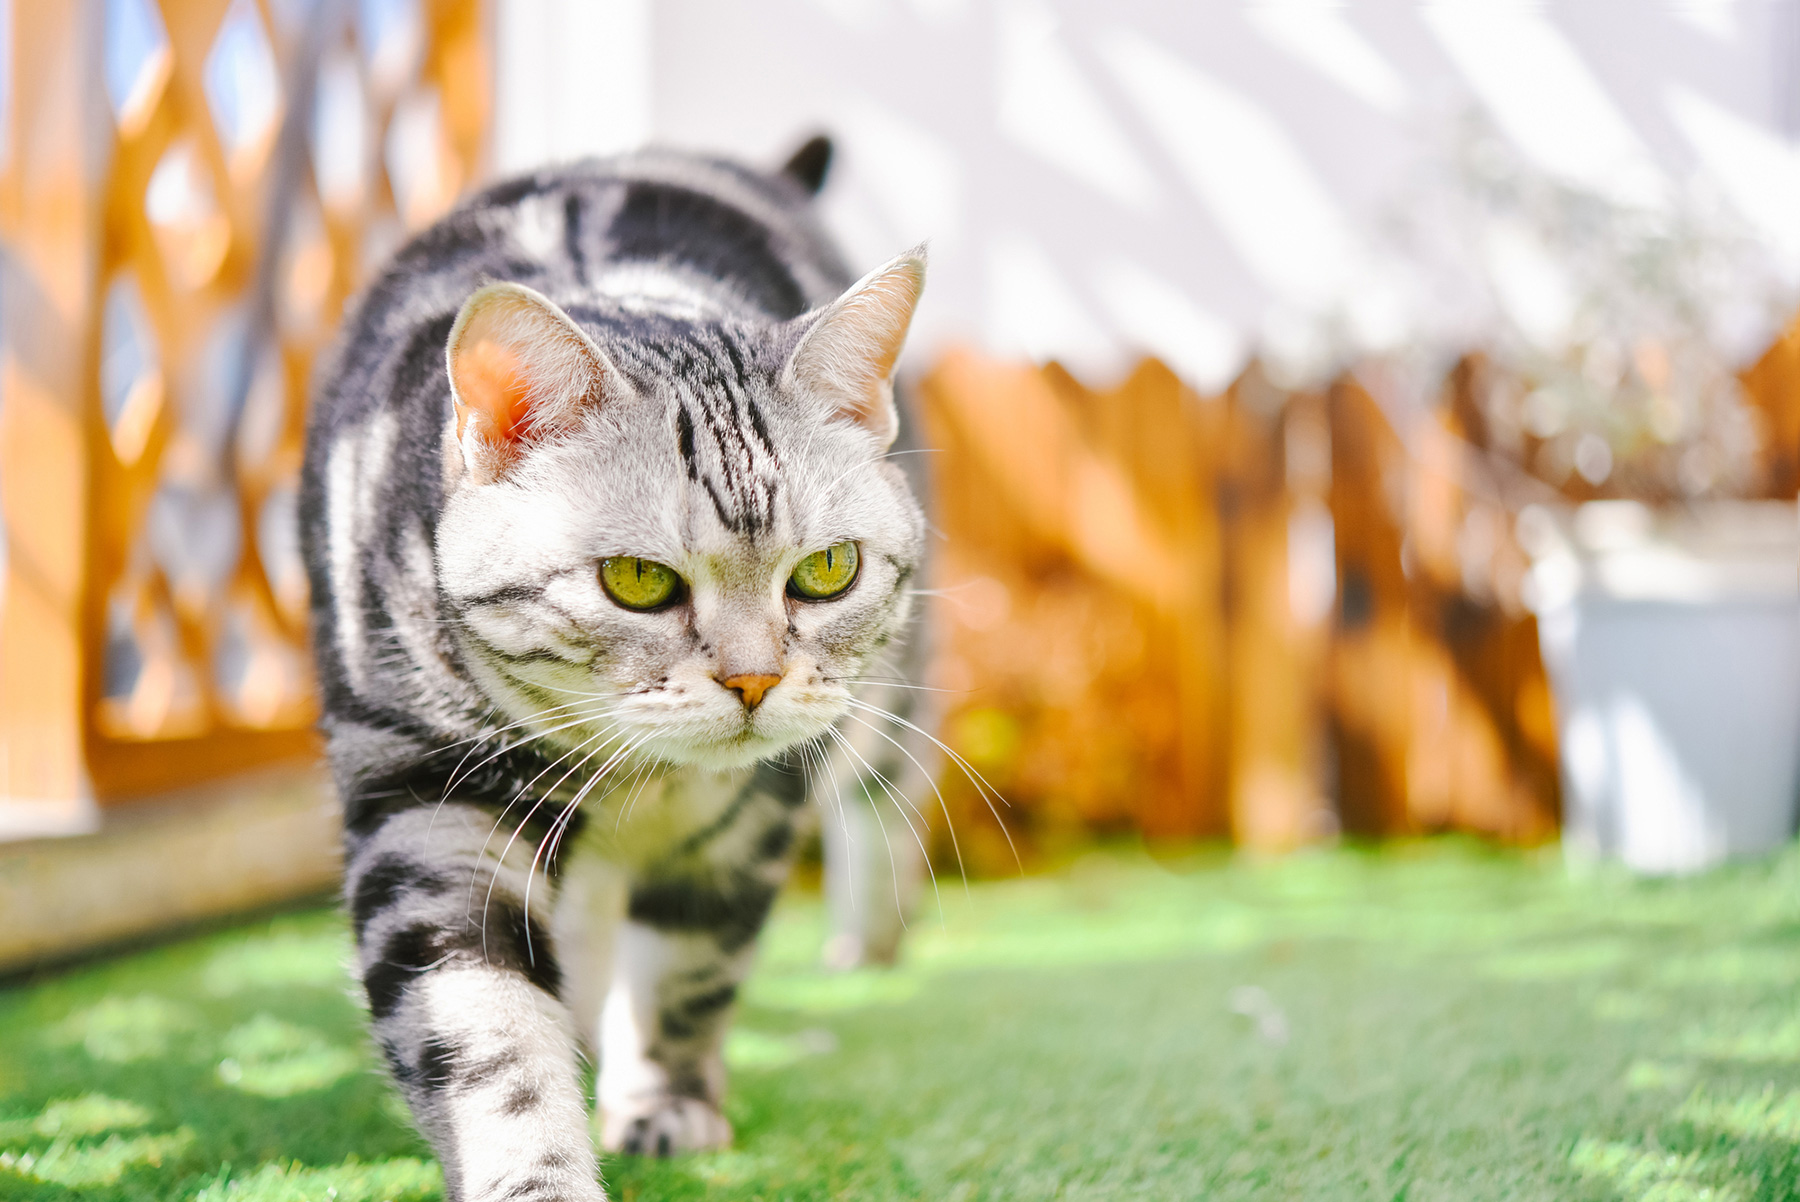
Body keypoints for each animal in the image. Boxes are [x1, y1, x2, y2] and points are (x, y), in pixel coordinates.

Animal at [297, 143, 936, 1202]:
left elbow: (690, 975)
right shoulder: (425, 800)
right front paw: (537, 1173)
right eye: (638, 580)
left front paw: (668, 1104)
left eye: (828, 570)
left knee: (882, 805)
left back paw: (868, 944)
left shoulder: (748, 824)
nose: (755, 681)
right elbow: (488, 1034)